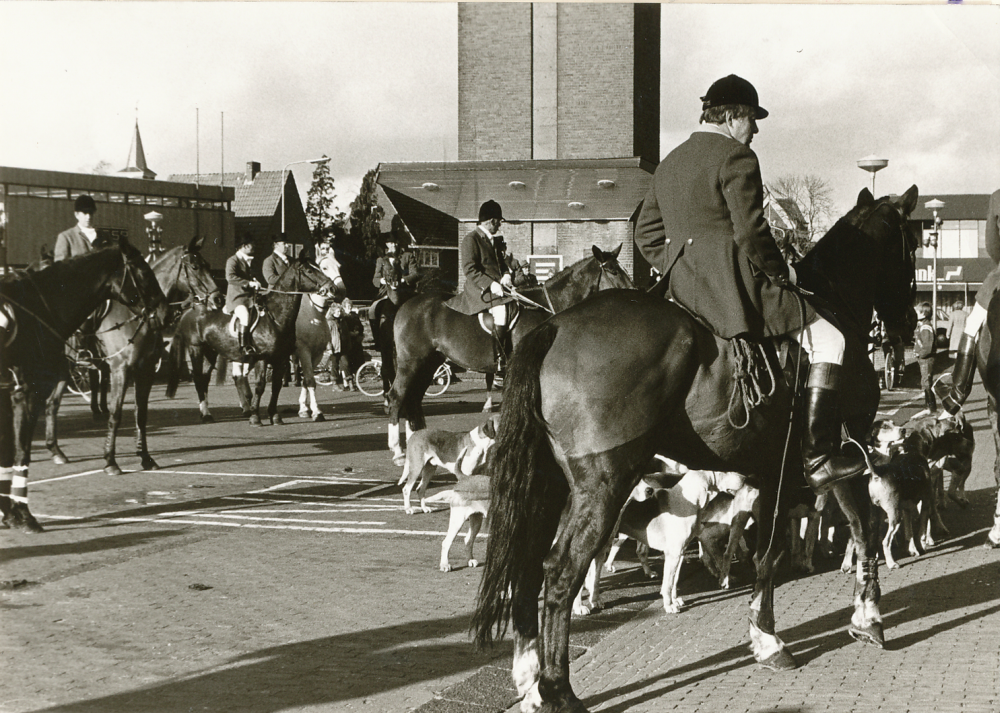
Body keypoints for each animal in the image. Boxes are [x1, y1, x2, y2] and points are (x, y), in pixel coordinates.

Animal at [0, 236, 166, 532]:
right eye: (144, 271)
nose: (163, 311)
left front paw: (9, 514)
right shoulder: (27, 392)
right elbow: (22, 453)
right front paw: (24, 515)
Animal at [42, 236, 221, 476]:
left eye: (208, 265)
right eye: (194, 266)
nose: (219, 299)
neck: (140, 314)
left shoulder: (146, 370)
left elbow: (141, 414)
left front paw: (146, 458)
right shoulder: (121, 369)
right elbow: (115, 414)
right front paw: (110, 461)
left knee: (51, 402)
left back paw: (56, 450)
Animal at [164, 254, 336, 422]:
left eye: (319, 267)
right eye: (309, 271)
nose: (332, 288)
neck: (275, 317)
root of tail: (192, 308)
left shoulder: (281, 359)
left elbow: (276, 386)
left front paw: (274, 415)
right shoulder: (264, 357)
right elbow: (260, 385)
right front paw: (255, 416)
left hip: (211, 352)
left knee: (207, 378)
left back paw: (210, 411)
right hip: (197, 349)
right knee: (200, 378)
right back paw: (208, 414)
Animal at [386, 245, 636, 464]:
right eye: (613, 270)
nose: (635, 293)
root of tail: (408, 303)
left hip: (429, 363)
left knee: (413, 400)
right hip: (412, 362)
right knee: (397, 397)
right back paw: (398, 452)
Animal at [472, 186, 916, 708]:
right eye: (912, 246)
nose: (908, 323)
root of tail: (556, 325)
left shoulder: (777, 471)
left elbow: (770, 554)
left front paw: (766, 637)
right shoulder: (836, 452)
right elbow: (856, 529)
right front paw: (866, 617)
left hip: (550, 481)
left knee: (526, 566)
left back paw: (529, 680)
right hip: (602, 482)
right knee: (560, 572)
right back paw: (559, 690)